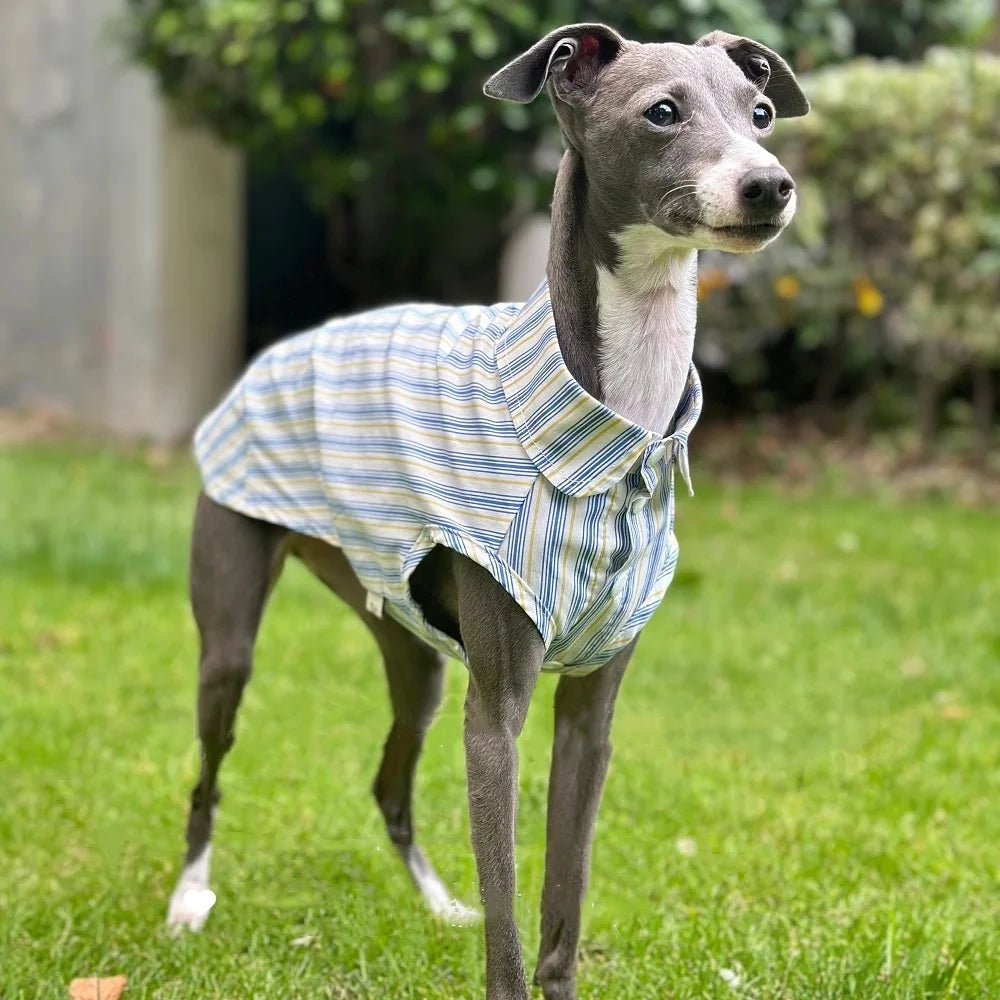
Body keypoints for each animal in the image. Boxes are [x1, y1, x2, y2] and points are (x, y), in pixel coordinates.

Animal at [166, 21, 804, 1000]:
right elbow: (508, 926)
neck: (623, 427)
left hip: (415, 656)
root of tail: (281, 348)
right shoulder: (494, 719)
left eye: (762, 111)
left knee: (389, 783)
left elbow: (560, 912)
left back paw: (435, 903)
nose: (769, 186)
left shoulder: (590, 716)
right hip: (232, 632)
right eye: (663, 112)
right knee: (210, 766)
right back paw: (189, 898)